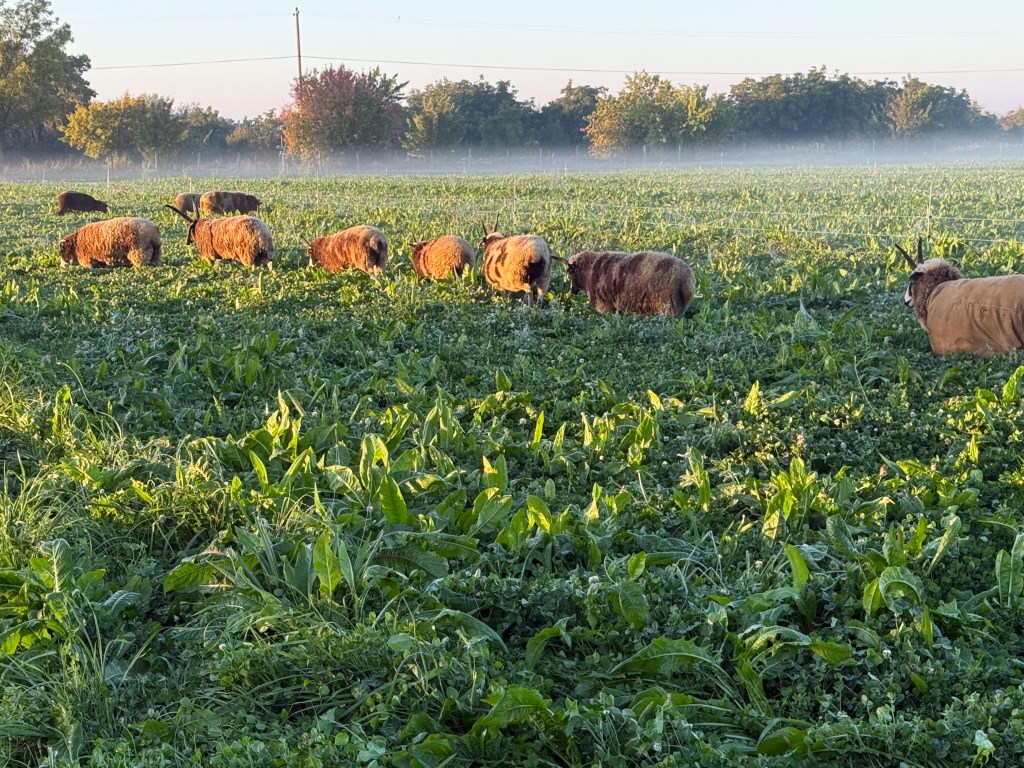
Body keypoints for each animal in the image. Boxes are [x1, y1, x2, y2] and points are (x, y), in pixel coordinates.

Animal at [565, 250, 696, 317]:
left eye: (570, 272)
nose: (572, 291)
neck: (589, 270)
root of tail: (686, 276)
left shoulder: (604, 304)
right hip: (679, 304)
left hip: (668, 304)